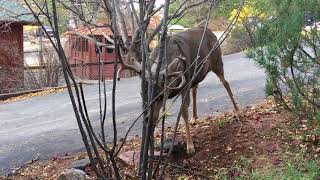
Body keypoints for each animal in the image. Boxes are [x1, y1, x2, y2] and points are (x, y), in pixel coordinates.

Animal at [119, 26, 239, 154]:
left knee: (225, 83)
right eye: (142, 94)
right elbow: (157, 119)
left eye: (160, 95)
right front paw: (152, 146)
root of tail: (209, 31)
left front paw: (190, 147)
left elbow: (184, 112)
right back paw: (194, 118)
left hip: (217, 62)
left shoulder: (184, 85)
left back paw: (237, 111)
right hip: (195, 75)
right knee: (195, 89)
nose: (147, 117)